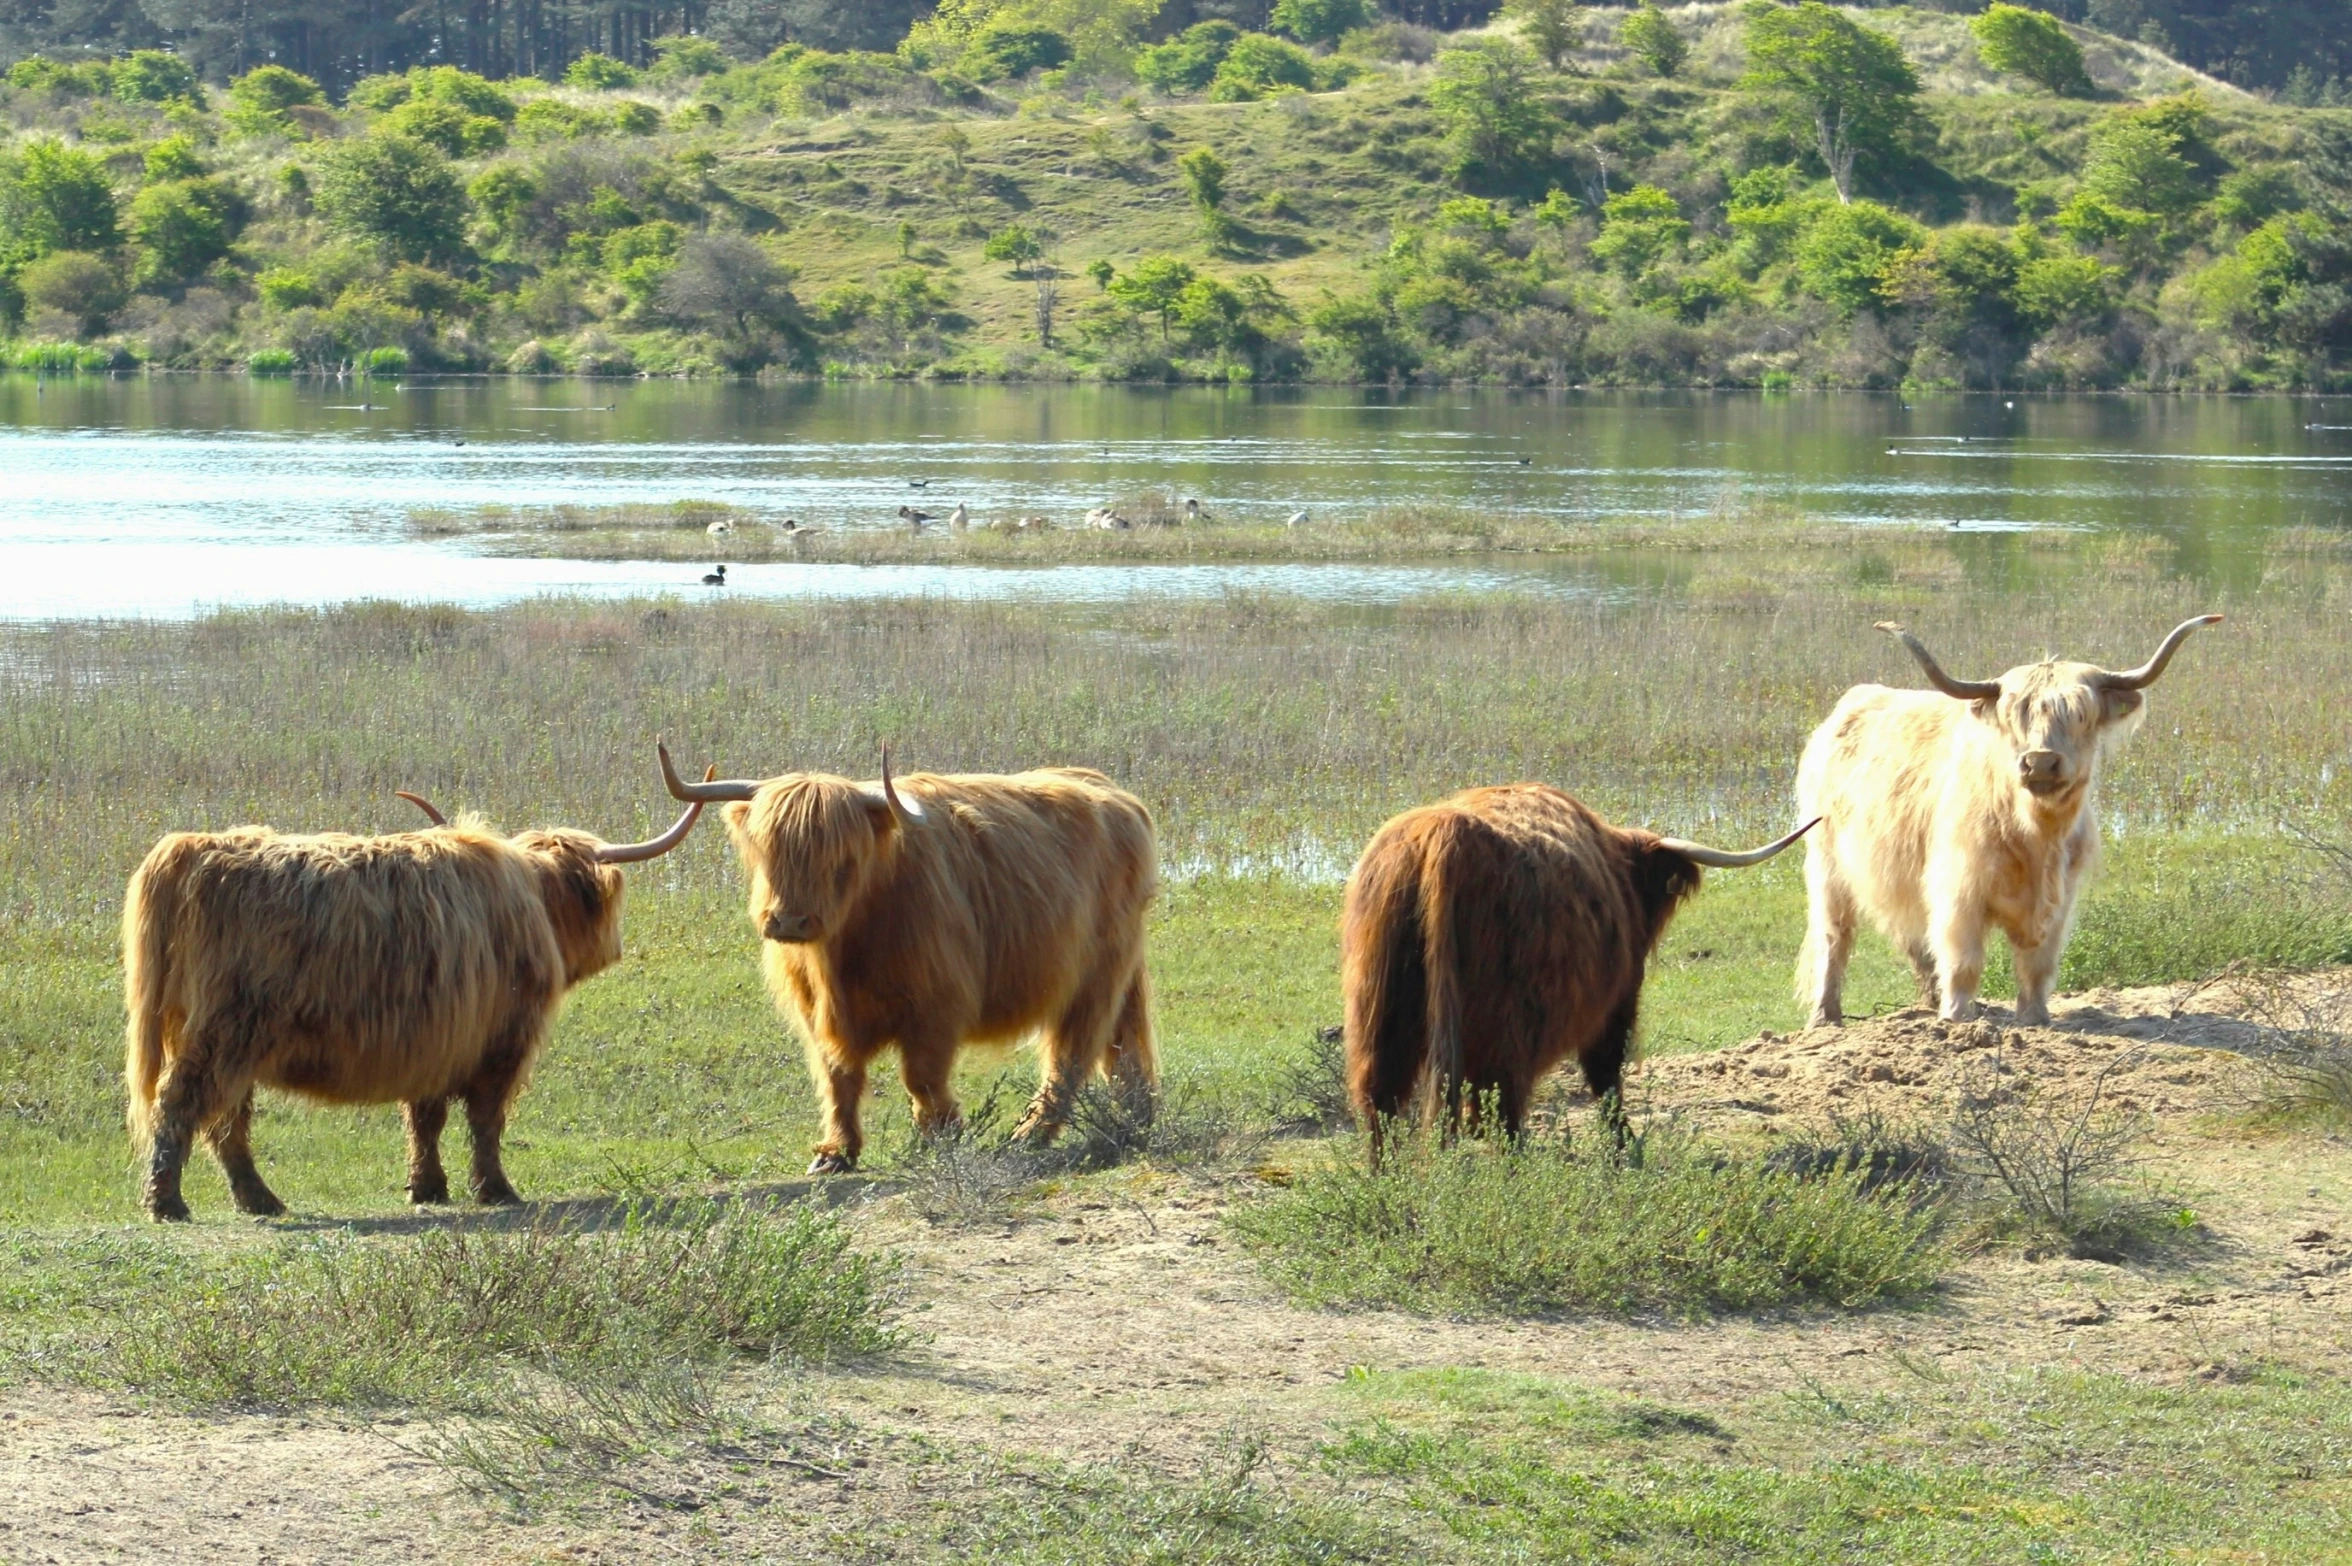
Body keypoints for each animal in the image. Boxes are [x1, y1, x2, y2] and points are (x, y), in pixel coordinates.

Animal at [121, 757, 705, 1222]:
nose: (617, 946)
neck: (533, 899)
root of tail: (193, 847)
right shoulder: (502, 1039)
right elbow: (485, 1119)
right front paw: (496, 1189)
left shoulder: (436, 1034)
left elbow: (425, 1118)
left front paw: (427, 1188)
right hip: (226, 1028)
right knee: (182, 1103)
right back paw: (168, 1203)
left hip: (225, 1036)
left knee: (225, 1119)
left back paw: (259, 1199)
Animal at [663, 743, 1157, 1170]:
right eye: (768, 851)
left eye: (840, 857)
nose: (788, 921)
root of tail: (1120, 798)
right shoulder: (814, 1013)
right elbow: (837, 1077)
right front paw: (835, 1152)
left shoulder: (937, 1003)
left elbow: (920, 1075)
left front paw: (941, 1137)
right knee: (1124, 1043)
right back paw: (1135, 1119)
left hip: (1093, 977)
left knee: (1071, 1054)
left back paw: (1027, 1136)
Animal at [1345, 785, 1815, 1152]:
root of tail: (1444, 837)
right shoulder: (1617, 1001)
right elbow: (1606, 1076)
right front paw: (1624, 1148)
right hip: (1506, 1026)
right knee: (1503, 1108)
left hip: (1381, 1012)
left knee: (1380, 1101)